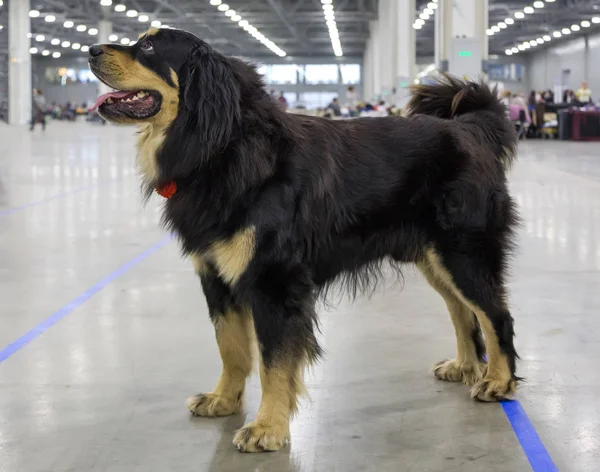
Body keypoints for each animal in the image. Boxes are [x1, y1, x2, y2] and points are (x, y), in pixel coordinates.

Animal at [88, 26, 520, 454]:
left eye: (147, 46)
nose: (91, 50)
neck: (222, 146)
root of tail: (468, 129)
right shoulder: (216, 277)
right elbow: (231, 348)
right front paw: (224, 400)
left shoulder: (274, 281)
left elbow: (274, 362)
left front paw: (267, 427)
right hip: (434, 258)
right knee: (462, 312)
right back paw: (465, 366)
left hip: (464, 252)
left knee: (495, 315)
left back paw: (498, 381)